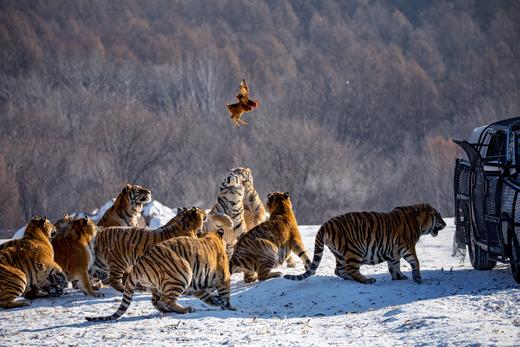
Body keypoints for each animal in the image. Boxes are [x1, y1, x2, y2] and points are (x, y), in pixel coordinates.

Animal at [86, 223, 235, 320]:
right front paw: (229, 307)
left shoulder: (196, 285)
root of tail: (141, 262)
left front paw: (216, 301)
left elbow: (206, 296)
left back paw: (167, 309)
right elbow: (225, 294)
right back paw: (185, 309)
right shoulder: (223, 277)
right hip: (181, 275)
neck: (211, 237)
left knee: (156, 300)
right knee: (167, 299)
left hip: (158, 284)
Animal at [284, 204, 446, 286]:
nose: (444, 224)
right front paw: (418, 278)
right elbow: (415, 261)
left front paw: (399, 277)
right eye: (438, 215)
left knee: (339, 270)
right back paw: (367, 280)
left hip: (340, 254)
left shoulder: (394, 253)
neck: (419, 222)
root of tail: (325, 225)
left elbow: (394, 266)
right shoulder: (407, 245)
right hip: (355, 250)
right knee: (350, 269)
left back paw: (352, 279)